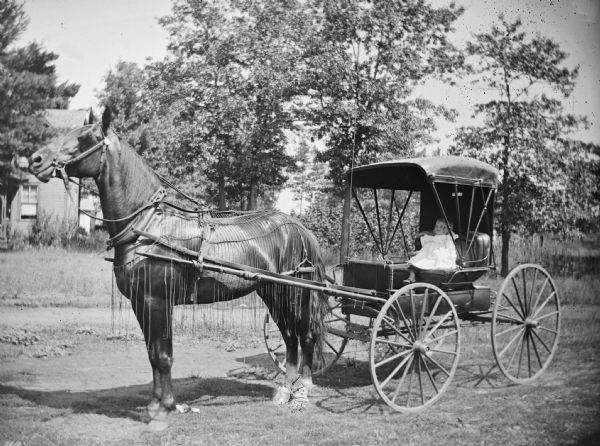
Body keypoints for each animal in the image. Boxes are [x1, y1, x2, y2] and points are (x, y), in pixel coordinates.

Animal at [27, 109, 328, 422]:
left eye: (86, 137)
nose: (35, 159)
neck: (147, 228)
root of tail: (299, 228)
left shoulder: (157, 302)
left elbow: (163, 355)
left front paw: (165, 407)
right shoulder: (141, 303)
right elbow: (153, 354)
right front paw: (157, 404)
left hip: (293, 294)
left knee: (304, 337)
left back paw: (303, 390)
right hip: (271, 292)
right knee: (290, 338)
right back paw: (284, 392)